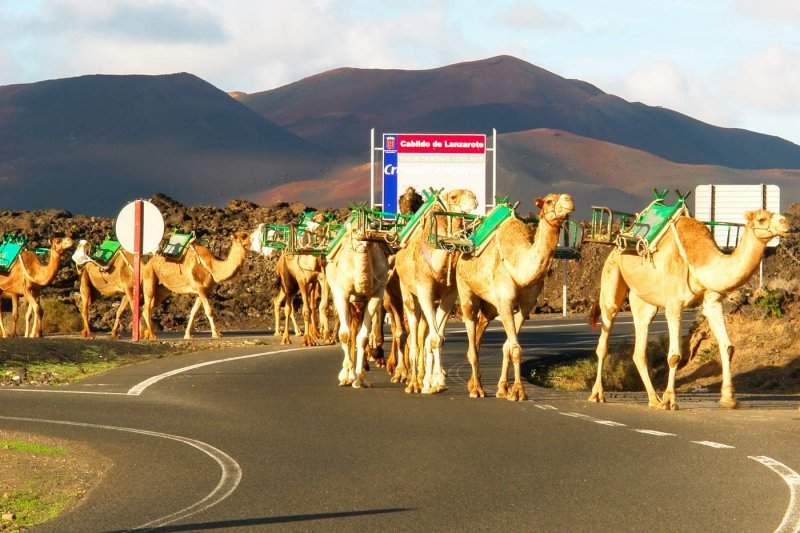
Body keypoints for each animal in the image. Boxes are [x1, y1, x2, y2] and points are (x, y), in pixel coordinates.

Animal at [322, 211, 390, 386]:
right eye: (354, 230)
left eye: (374, 226)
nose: (365, 239)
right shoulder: (342, 294)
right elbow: (344, 335)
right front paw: (347, 376)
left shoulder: (376, 295)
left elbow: (363, 337)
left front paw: (360, 379)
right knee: (350, 331)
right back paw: (346, 373)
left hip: (359, 302)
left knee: (356, 330)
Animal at [392, 187, 476, 390]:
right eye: (453, 196)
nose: (474, 199)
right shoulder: (424, 291)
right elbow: (432, 337)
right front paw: (431, 382)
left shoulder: (449, 296)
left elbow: (437, 337)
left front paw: (435, 381)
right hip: (407, 292)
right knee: (414, 336)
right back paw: (413, 383)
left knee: (424, 334)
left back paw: (422, 378)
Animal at [456, 194, 576, 400]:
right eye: (549, 201)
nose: (568, 200)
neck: (519, 263)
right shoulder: (505, 302)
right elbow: (515, 348)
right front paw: (518, 391)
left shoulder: (526, 306)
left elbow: (508, 347)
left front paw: (504, 388)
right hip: (465, 291)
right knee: (471, 339)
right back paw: (477, 389)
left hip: (489, 305)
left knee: (481, 331)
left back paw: (474, 383)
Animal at [588, 207, 788, 408]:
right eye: (762, 219)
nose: (785, 223)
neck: (701, 259)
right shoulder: (674, 304)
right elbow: (675, 356)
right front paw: (670, 400)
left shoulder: (713, 301)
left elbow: (728, 347)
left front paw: (729, 398)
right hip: (611, 277)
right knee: (605, 335)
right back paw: (597, 395)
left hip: (643, 299)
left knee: (639, 348)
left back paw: (654, 400)